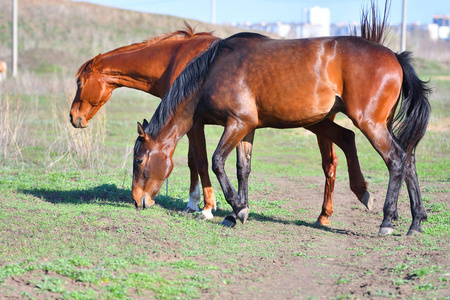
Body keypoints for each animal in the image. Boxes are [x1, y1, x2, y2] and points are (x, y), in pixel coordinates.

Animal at [68, 24, 368, 225]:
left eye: (80, 82)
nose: (73, 117)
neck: (178, 59)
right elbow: (198, 161)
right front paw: (200, 203)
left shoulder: (195, 124)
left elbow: (199, 161)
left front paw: (206, 206)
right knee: (338, 153)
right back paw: (326, 214)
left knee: (331, 161)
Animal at [132, 9, 430, 236]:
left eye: (139, 160)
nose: (137, 201)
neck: (214, 71)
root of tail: (395, 57)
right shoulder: (246, 128)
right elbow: (242, 169)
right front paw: (237, 212)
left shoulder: (236, 124)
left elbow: (216, 162)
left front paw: (237, 207)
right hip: (383, 124)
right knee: (408, 158)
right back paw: (415, 221)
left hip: (371, 124)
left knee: (396, 159)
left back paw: (386, 220)